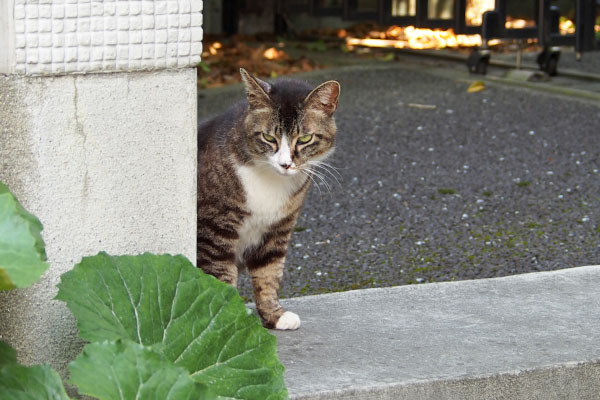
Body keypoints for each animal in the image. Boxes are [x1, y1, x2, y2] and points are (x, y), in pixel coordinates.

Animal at [196, 69, 340, 330]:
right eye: (268, 137)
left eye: (305, 139)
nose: (286, 164)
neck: (271, 181)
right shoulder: (213, 230)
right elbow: (219, 277)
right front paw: (227, 321)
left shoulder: (278, 228)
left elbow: (269, 273)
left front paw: (275, 316)